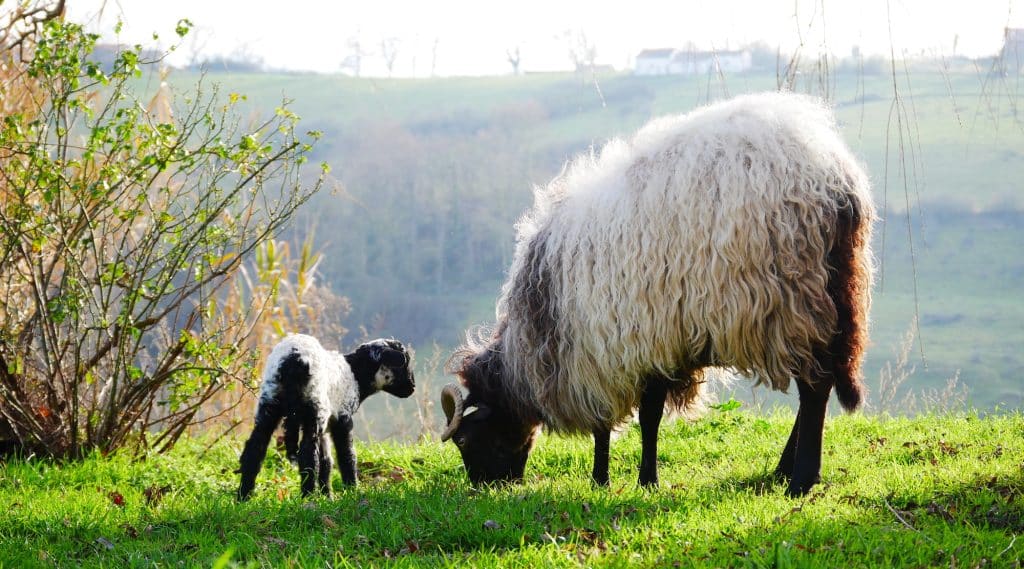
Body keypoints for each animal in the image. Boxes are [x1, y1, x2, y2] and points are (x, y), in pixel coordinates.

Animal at [237, 335, 413, 499]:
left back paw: (244, 496)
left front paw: (327, 495)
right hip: (314, 407)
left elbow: (326, 461)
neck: (356, 373)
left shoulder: (326, 427)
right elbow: (346, 455)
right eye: (405, 364)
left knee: (255, 449)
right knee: (308, 455)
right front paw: (352, 489)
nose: (412, 388)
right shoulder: (343, 418)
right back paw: (308, 496)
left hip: (269, 402)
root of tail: (294, 361)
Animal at [438, 91, 872, 495]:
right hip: (827, 295)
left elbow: (635, 418)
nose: (488, 485)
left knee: (814, 387)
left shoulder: (625, 346)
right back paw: (783, 469)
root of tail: (836, 180)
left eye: (465, 441)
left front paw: (630, 479)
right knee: (821, 379)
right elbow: (620, 422)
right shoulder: (643, 346)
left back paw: (802, 478)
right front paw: (608, 479)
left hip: (791, 299)